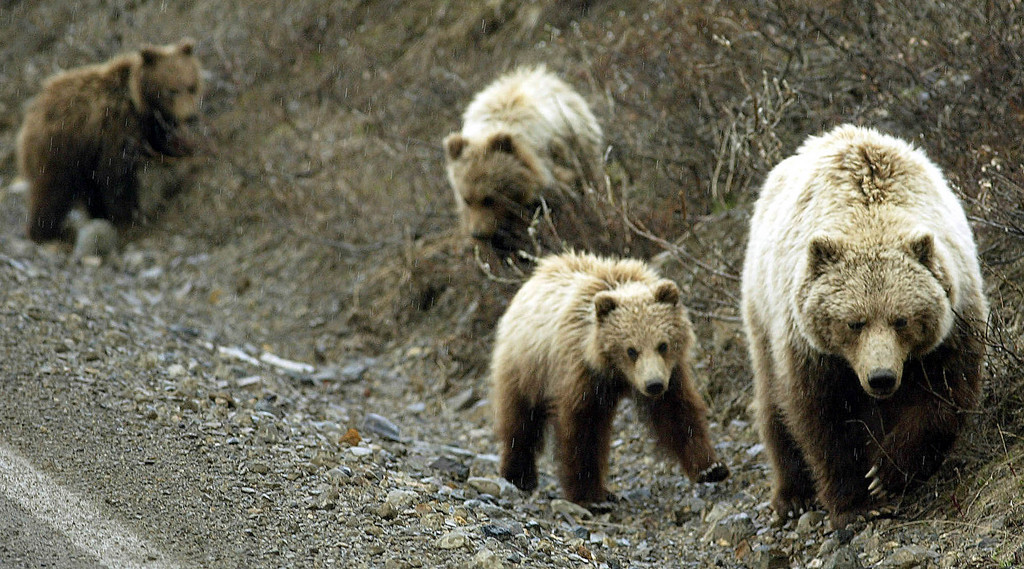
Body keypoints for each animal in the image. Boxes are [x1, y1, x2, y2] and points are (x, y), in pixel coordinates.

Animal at [741, 124, 987, 528]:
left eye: (901, 319)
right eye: (854, 322)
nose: (881, 378)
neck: (869, 216)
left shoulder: (953, 318)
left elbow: (945, 394)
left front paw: (885, 473)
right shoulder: (811, 348)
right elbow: (823, 417)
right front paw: (856, 501)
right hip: (759, 305)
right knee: (771, 397)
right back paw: (791, 495)